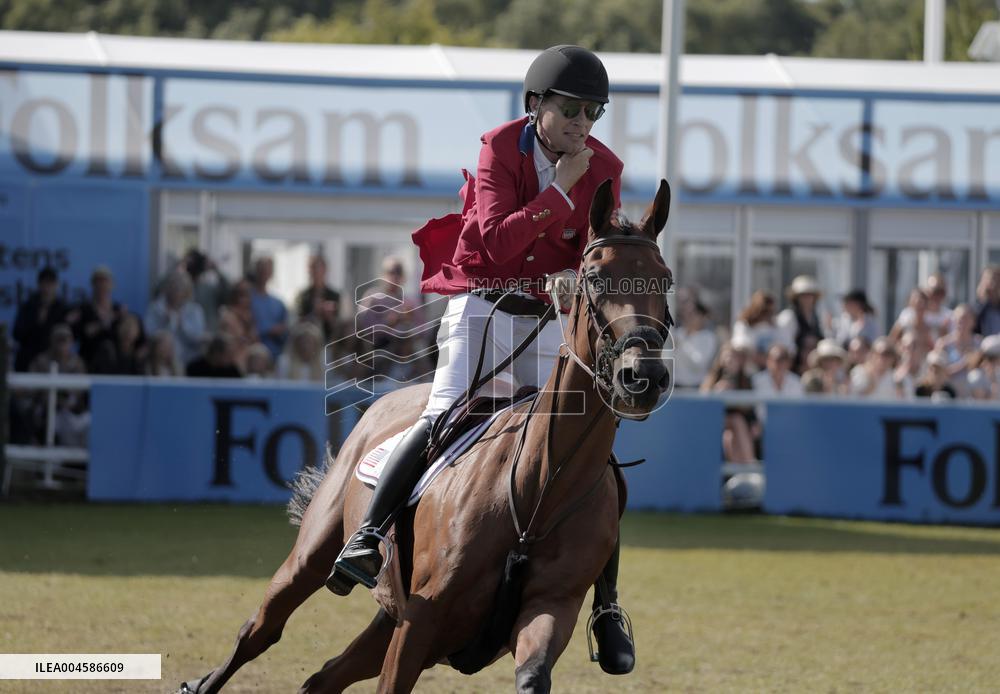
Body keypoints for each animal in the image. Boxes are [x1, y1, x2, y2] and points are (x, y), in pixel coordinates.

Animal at [178, 178, 673, 694]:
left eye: (666, 280)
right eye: (595, 278)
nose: (642, 377)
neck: (540, 485)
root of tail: (383, 402)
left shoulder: (547, 611)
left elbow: (533, 675)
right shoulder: (422, 618)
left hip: (387, 622)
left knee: (323, 678)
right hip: (312, 560)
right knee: (260, 630)